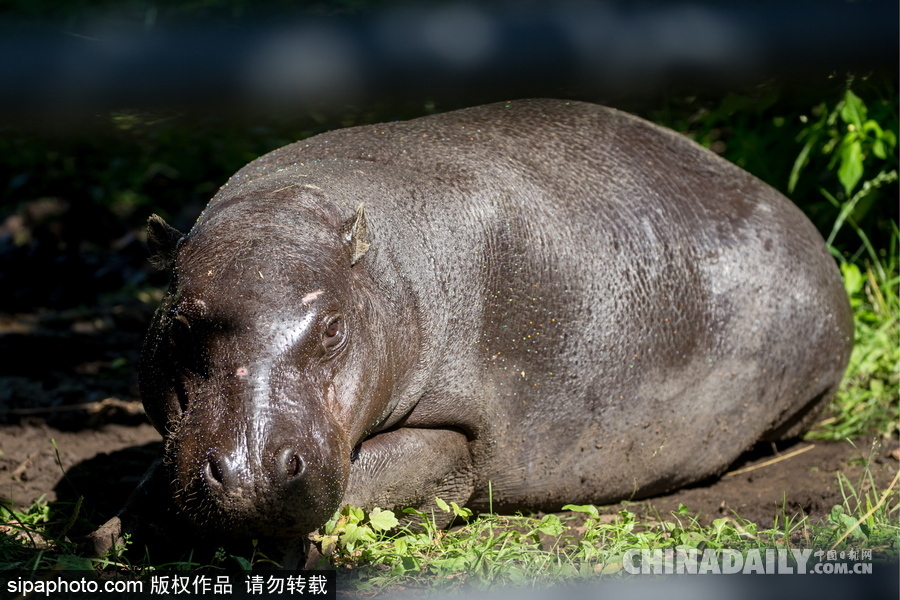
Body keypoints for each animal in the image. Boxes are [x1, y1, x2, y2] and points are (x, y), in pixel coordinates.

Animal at [88, 99, 856, 556]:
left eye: (333, 327)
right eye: (180, 327)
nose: (250, 476)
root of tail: (806, 224)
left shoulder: (454, 429)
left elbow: (388, 471)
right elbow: (160, 473)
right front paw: (109, 536)